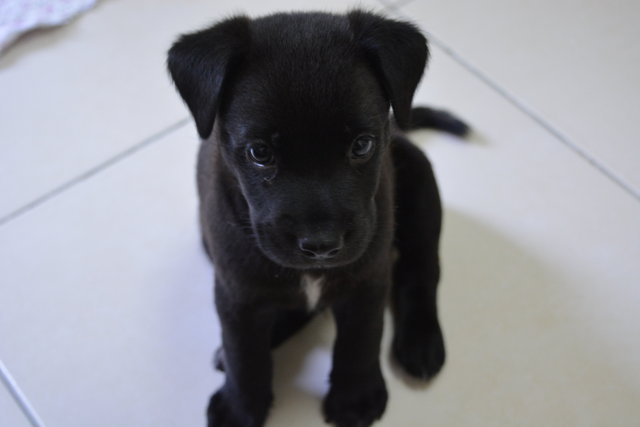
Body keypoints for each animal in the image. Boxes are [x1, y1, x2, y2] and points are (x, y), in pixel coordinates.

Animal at [168, 10, 468, 427]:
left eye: (362, 145)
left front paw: (356, 398)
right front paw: (239, 407)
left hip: (421, 186)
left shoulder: (367, 279)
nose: (322, 245)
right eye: (259, 153)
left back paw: (421, 342)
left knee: (421, 270)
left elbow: (361, 338)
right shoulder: (236, 288)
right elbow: (243, 350)